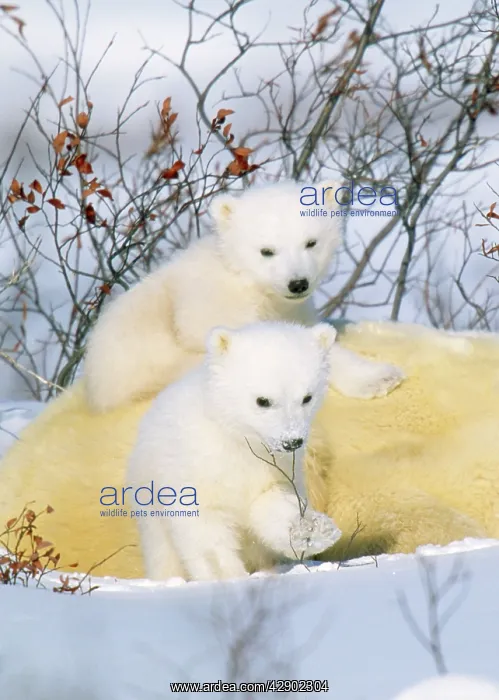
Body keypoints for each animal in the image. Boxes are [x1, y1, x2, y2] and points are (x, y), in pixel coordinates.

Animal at [127, 321, 342, 581]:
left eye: (307, 397)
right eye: (263, 400)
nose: (292, 441)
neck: (236, 439)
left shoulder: (273, 469)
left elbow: (272, 503)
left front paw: (311, 530)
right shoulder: (194, 468)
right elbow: (204, 527)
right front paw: (226, 575)